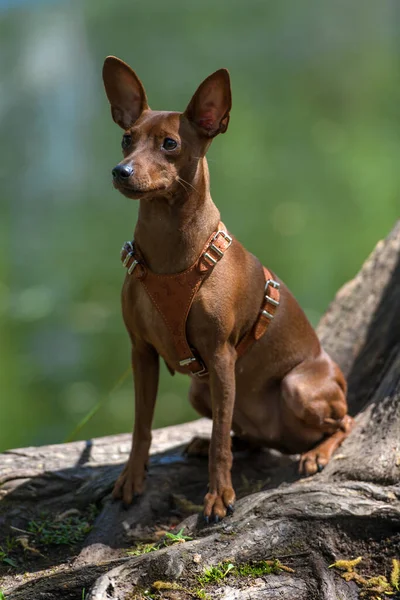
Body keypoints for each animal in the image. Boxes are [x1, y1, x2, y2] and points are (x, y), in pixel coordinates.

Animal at [102, 57, 354, 524]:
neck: (171, 250)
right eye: (127, 138)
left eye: (169, 144)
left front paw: (219, 496)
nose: (120, 171)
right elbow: (142, 426)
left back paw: (316, 454)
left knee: (343, 422)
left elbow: (221, 437)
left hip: (297, 387)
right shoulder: (141, 352)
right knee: (243, 433)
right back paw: (211, 443)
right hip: (200, 389)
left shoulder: (220, 356)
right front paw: (131, 479)